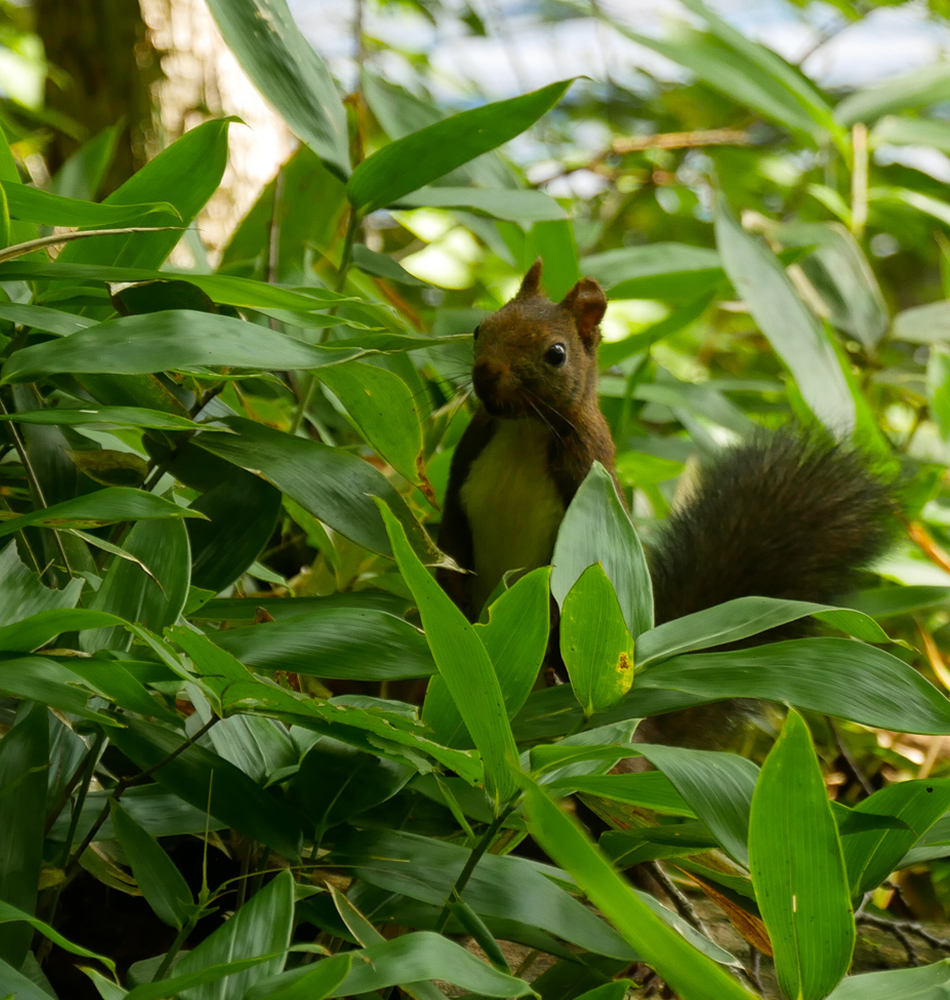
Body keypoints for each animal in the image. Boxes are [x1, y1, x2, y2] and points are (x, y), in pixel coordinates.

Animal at [436, 258, 896, 652]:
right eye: (479, 328)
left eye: (556, 353)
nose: (485, 374)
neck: (524, 429)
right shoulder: (467, 459)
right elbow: (450, 540)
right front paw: (446, 593)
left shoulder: (588, 474)